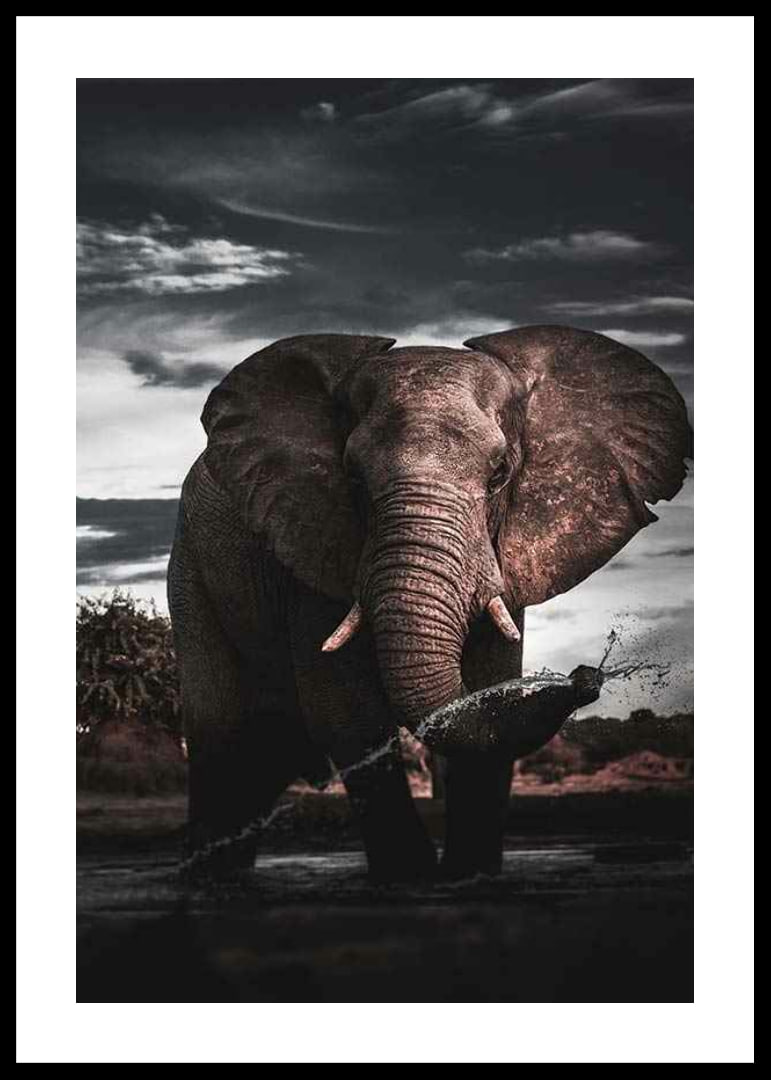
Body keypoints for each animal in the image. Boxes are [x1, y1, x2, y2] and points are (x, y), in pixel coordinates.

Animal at [167, 325, 692, 881]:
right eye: (352, 477)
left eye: (501, 474)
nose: (587, 676)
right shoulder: (312, 544)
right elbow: (347, 713)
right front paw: (411, 878)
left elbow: (487, 687)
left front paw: (470, 875)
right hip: (191, 568)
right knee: (221, 733)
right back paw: (208, 880)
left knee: (269, 748)